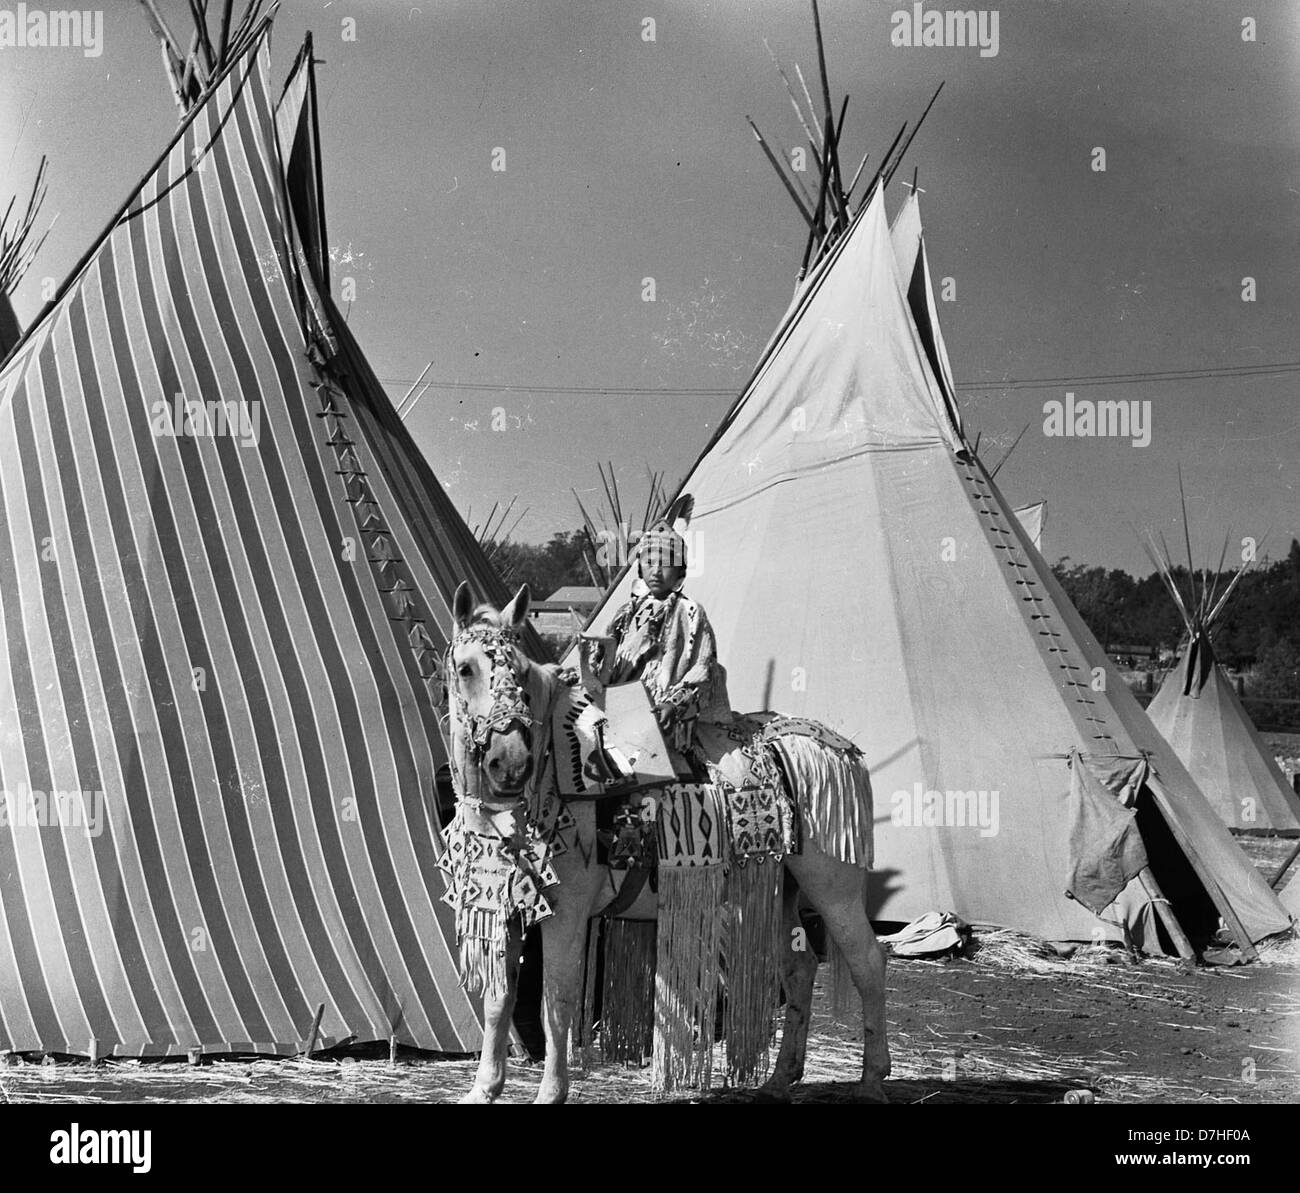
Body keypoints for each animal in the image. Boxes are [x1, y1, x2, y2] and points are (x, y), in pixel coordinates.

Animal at [441, 584, 889, 1107]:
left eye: (519, 673)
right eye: (466, 668)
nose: (509, 764)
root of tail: (841, 749)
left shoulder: (567, 914)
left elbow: (557, 998)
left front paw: (551, 1093)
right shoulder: (503, 909)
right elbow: (499, 1001)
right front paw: (483, 1089)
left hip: (833, 889)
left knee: (867, 963)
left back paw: (873, 1079)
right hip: (779, 889)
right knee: (798, 968)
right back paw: (780, 1078)